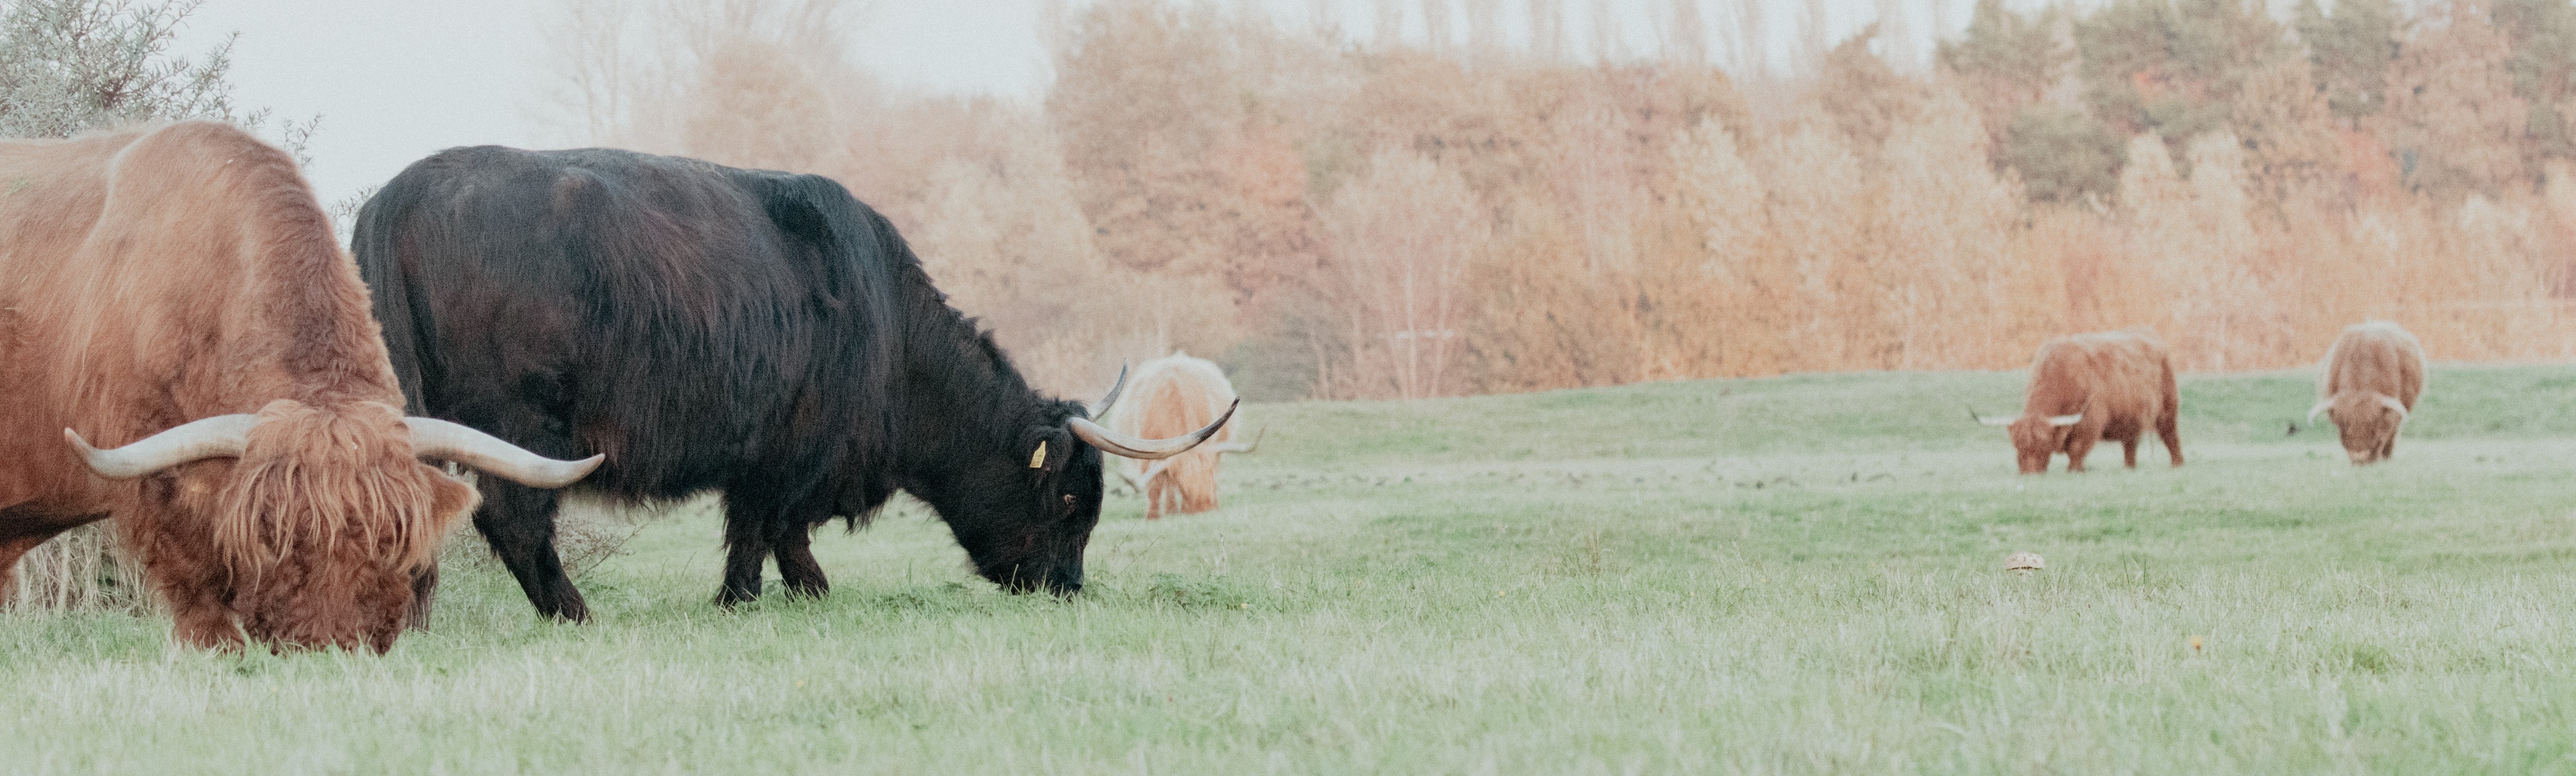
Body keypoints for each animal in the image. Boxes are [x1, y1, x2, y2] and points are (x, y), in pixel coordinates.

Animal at [351, 146, 1231, 623]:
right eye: (1072, 500)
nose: (1068, 587)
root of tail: (399, 195)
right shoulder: (789, 451)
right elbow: (771, 530)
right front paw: (761, 596)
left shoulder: (773, 457)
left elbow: (770, 530)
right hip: (522, 421)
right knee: (515, 517)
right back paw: (574, 611)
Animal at [1973, 329, 2183, 474]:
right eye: (2018, 445)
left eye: (2044, 444)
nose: (2029, 474)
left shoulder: (2091, 421)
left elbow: (2076, 449)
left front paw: (2075, 471)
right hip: (2130, 418)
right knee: (2130, 443)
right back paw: (2129, 468)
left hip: (2167, 410)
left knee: (2170, 436)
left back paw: (2177, 464)